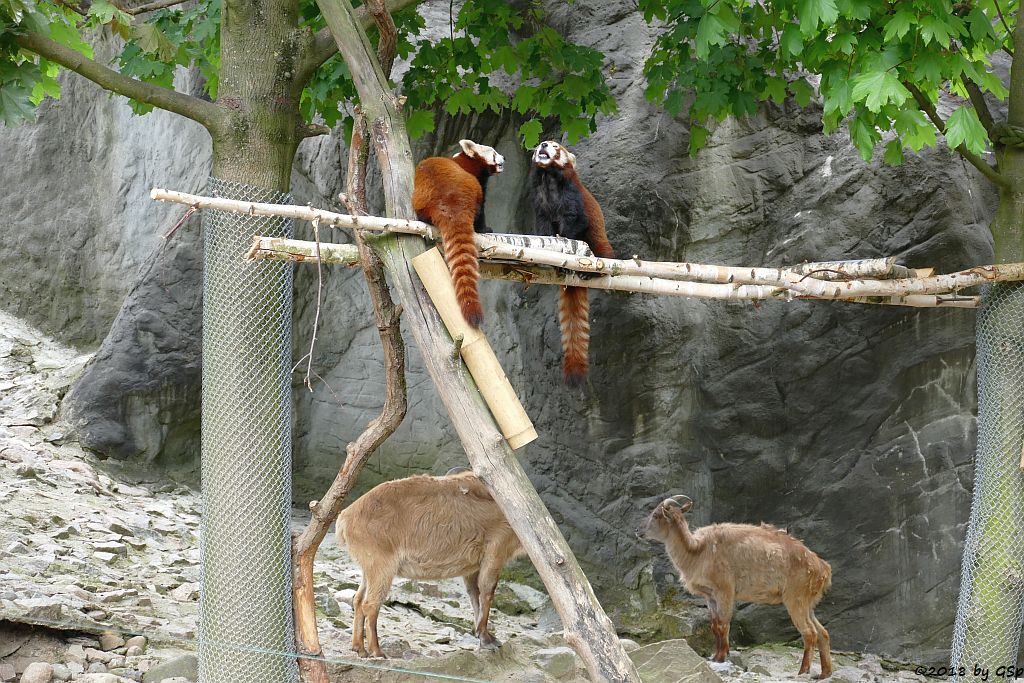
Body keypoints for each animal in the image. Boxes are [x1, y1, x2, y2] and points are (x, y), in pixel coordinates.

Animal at [409, 138, 501, 325]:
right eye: (494, 153)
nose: (503, 158)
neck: (466, 161)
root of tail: (450, 202)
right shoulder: (478, 180)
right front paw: (485, 229)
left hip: (421, 198)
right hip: (470, 188)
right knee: (478, 208)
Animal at [532, 140, 610, 385]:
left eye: (555, 146)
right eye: (541, 144)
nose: (543, 144)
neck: (549, 180)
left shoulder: (571, 195)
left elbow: (578, 221)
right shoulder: (540, 202)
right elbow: (543, 227)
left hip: (600, 244)